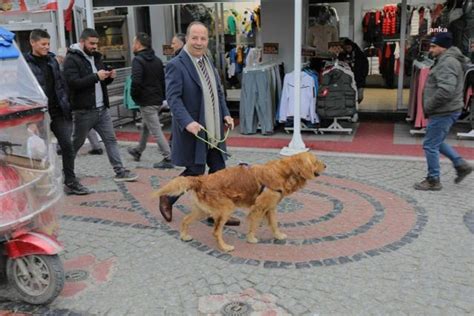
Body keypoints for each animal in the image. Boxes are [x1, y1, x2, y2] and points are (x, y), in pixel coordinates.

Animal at [154, 152, 324, 253]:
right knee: (216, 232)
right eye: (316, 161)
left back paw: (184, 236)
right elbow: (254, 225)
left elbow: (274, 224)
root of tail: (201, 179)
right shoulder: (258, 208)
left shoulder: (271, 208)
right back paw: (224, 247)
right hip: (226, 208)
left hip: (201, 210)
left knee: (185, 220)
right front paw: (251, 239)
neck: (284, 172)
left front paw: (278, 235)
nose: (326, 165)